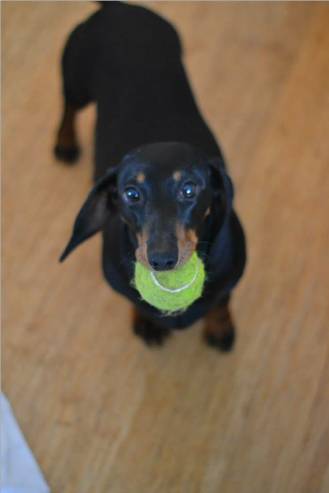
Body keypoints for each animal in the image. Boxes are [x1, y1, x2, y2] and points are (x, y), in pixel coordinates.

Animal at [55, 2, 246, 350]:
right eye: (131, 194)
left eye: (189, 189)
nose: (162, 261)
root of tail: (117, 8)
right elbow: (136, 301)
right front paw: (147, 323)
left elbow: (222, 300)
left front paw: (220, 328)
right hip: (76, 79)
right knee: (69, 107)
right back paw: (65, 142)